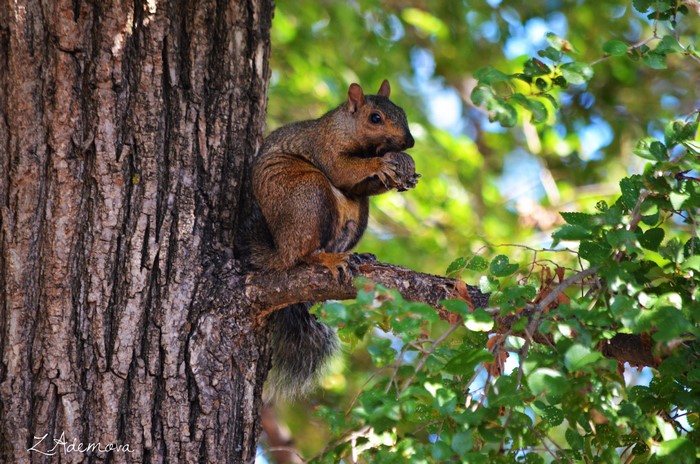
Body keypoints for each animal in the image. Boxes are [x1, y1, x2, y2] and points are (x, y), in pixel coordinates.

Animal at [238, 80, 419, 399]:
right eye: (375, 118)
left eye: (401, 111)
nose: (408, 142)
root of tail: (280, 250)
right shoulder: (325, 146)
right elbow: (342, 170)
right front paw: (382, 164)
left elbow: (359, 186)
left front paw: (405, 174)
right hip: (310, 195)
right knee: (303, 254)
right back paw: (326, 258)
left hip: (356, 217)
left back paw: (357, 255)